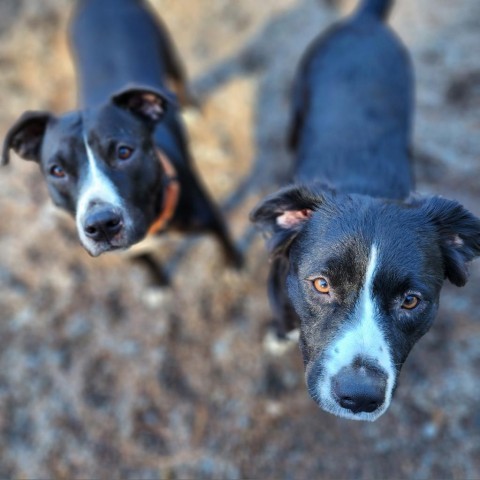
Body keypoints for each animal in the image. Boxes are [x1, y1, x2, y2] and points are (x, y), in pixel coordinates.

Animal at [0, 0, 240, 282]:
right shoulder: (132, 254)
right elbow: (148, 266)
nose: (101, 224)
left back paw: (191, 109)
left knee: (179, 77)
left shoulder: (210, 218)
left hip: (165, 45)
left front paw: (235, 268)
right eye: (57, 170)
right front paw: (159, 286)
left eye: (124, 152)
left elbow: (225, 244)